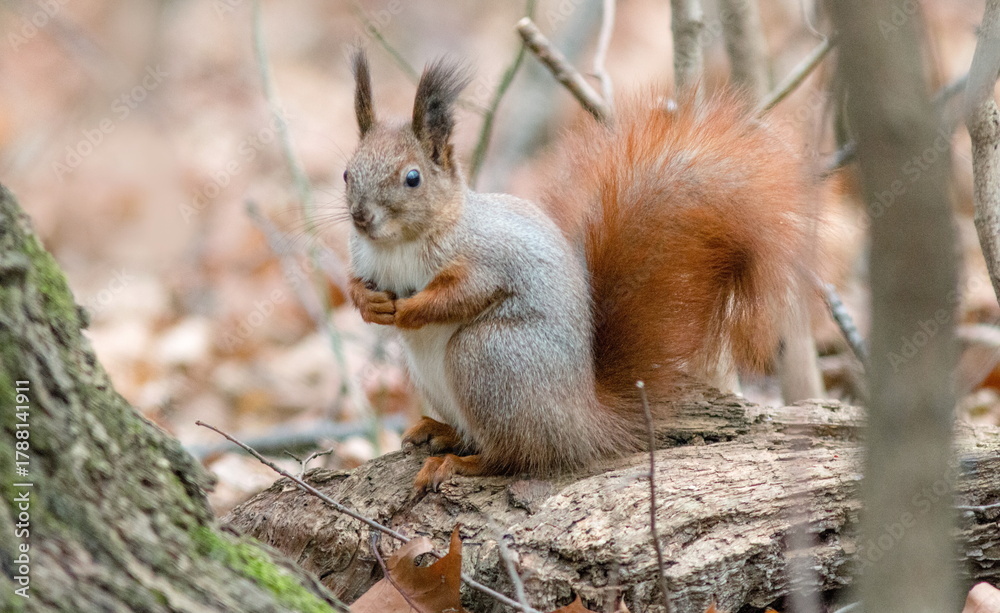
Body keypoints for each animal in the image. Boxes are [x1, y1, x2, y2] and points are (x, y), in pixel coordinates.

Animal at [343, 50, 814, 491]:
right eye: (347, 173)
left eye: (413, 178)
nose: (361, 217)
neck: (398, 244)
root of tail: (581, 420)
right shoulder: (364, 258)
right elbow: (354, 284)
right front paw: (370, 305)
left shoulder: (487, 258)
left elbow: (462, 293)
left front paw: (409, 311)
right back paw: (439, 430)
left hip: (487, 356)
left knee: (513, 455)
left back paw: (457, 463)